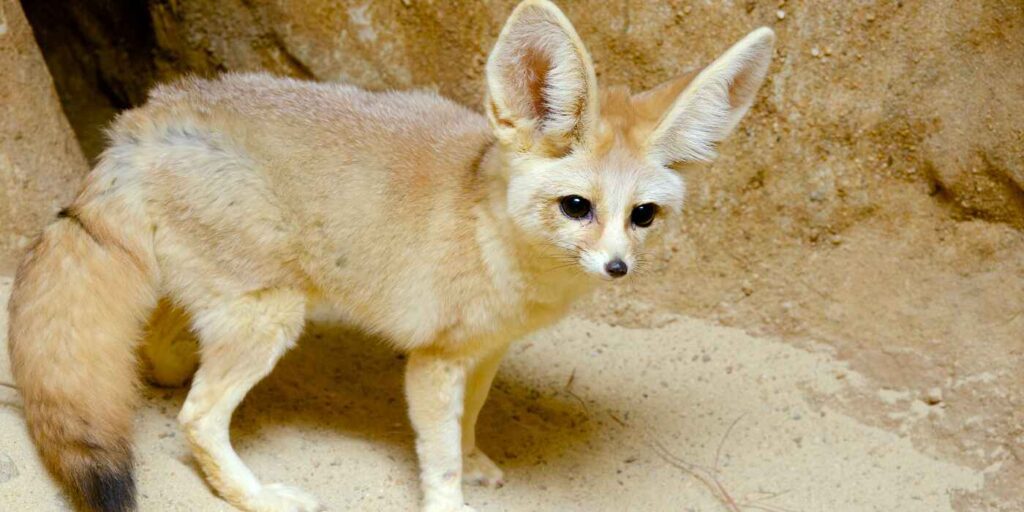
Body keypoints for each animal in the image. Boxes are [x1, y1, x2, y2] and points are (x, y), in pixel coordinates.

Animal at [9, 2, 774, 509]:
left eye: (643, 216)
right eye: (576, 207)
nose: (618, 267)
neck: (492, 230)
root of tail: (142, 122)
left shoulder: (484, 353)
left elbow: (467, 425)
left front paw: (475, 460)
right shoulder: (433, 363)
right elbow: (436, 459)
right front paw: (450, 496)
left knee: (162, 353)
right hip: (271, 318)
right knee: (196, 418)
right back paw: (258, 495)